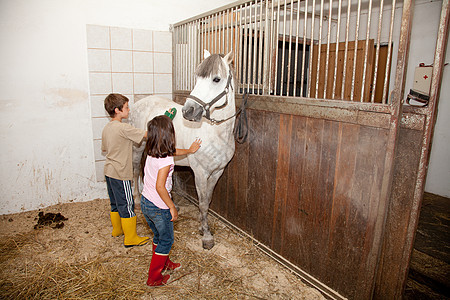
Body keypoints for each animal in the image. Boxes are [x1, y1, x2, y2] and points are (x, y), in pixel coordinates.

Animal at [129, 50, 236, 250]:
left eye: (216, 79)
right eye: (197, 77)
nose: (189, 111)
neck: (215, 133)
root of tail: (139, 103)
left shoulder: (217, 172)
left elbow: (207, 200)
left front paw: (203, 227)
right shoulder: (200, 173)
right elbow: (202, 203)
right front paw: (206, 236)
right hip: (137, 148)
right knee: (134, 171)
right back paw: (138, 201)